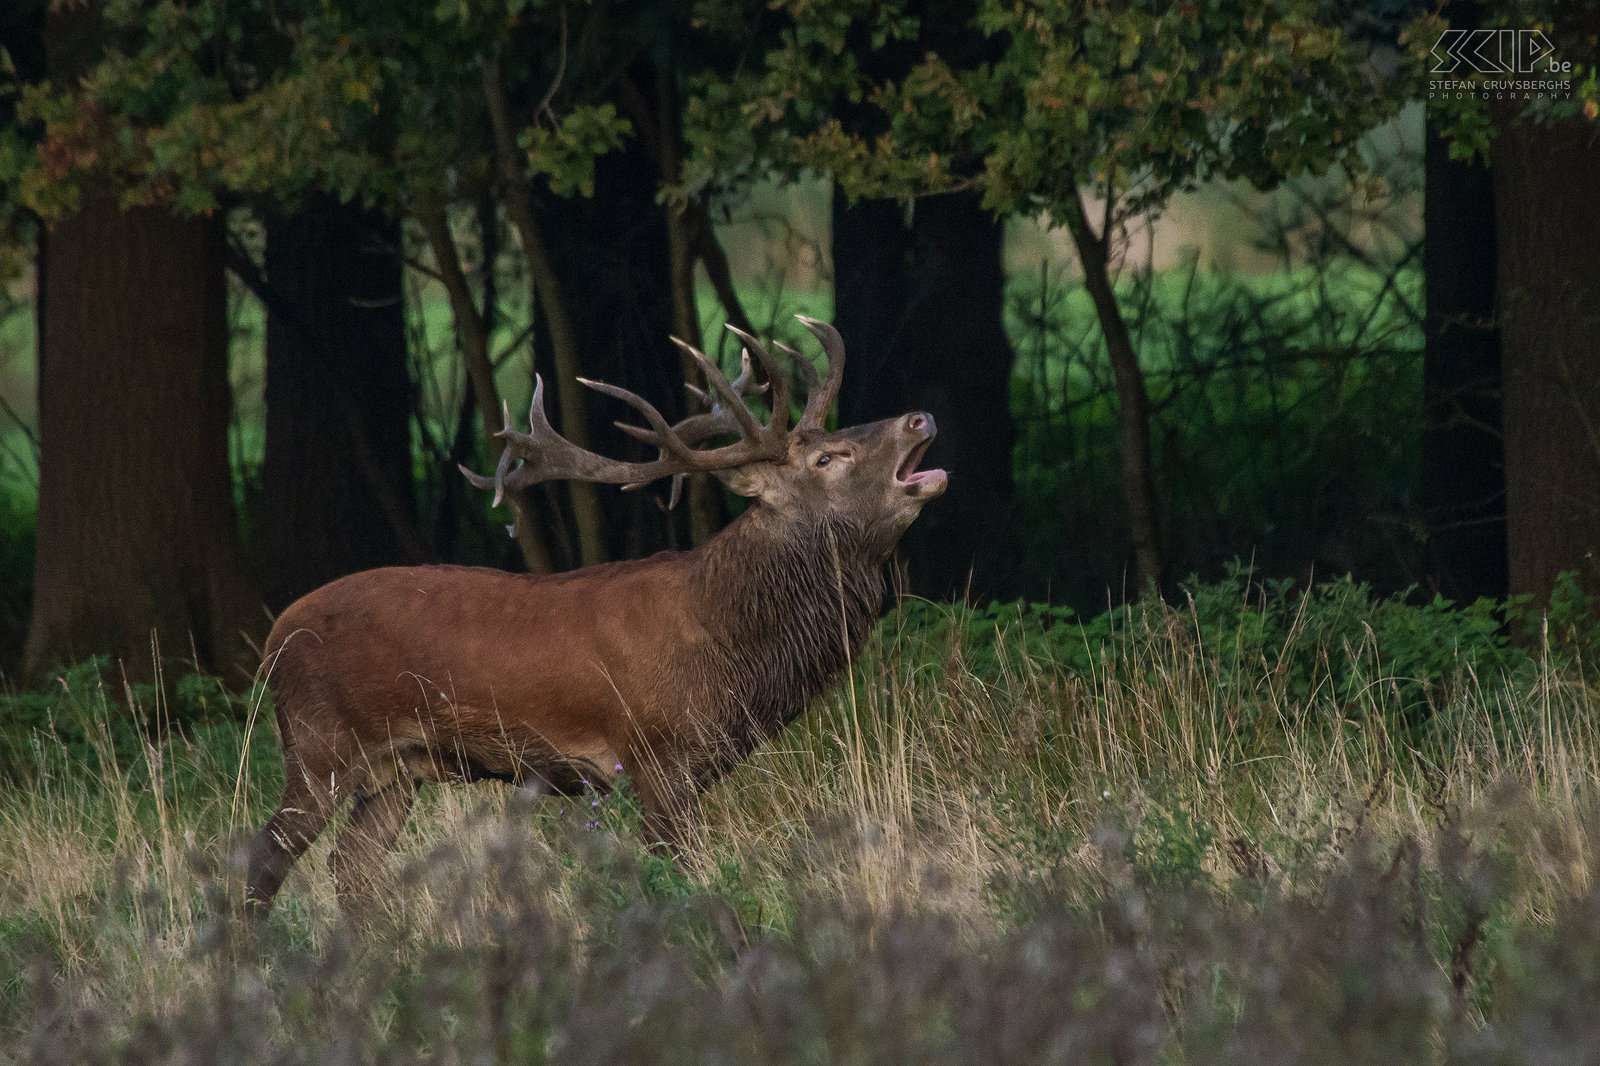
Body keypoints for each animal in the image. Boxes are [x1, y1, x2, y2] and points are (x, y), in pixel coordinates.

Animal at [243, 315, 940, 915]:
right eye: (826, 459)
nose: (920, 416)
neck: (728, 644)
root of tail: (273, 636)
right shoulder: (653, 756)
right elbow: (681, 875)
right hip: (317, 745)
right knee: (267, 856)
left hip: (396, 770)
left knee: (352, 866)